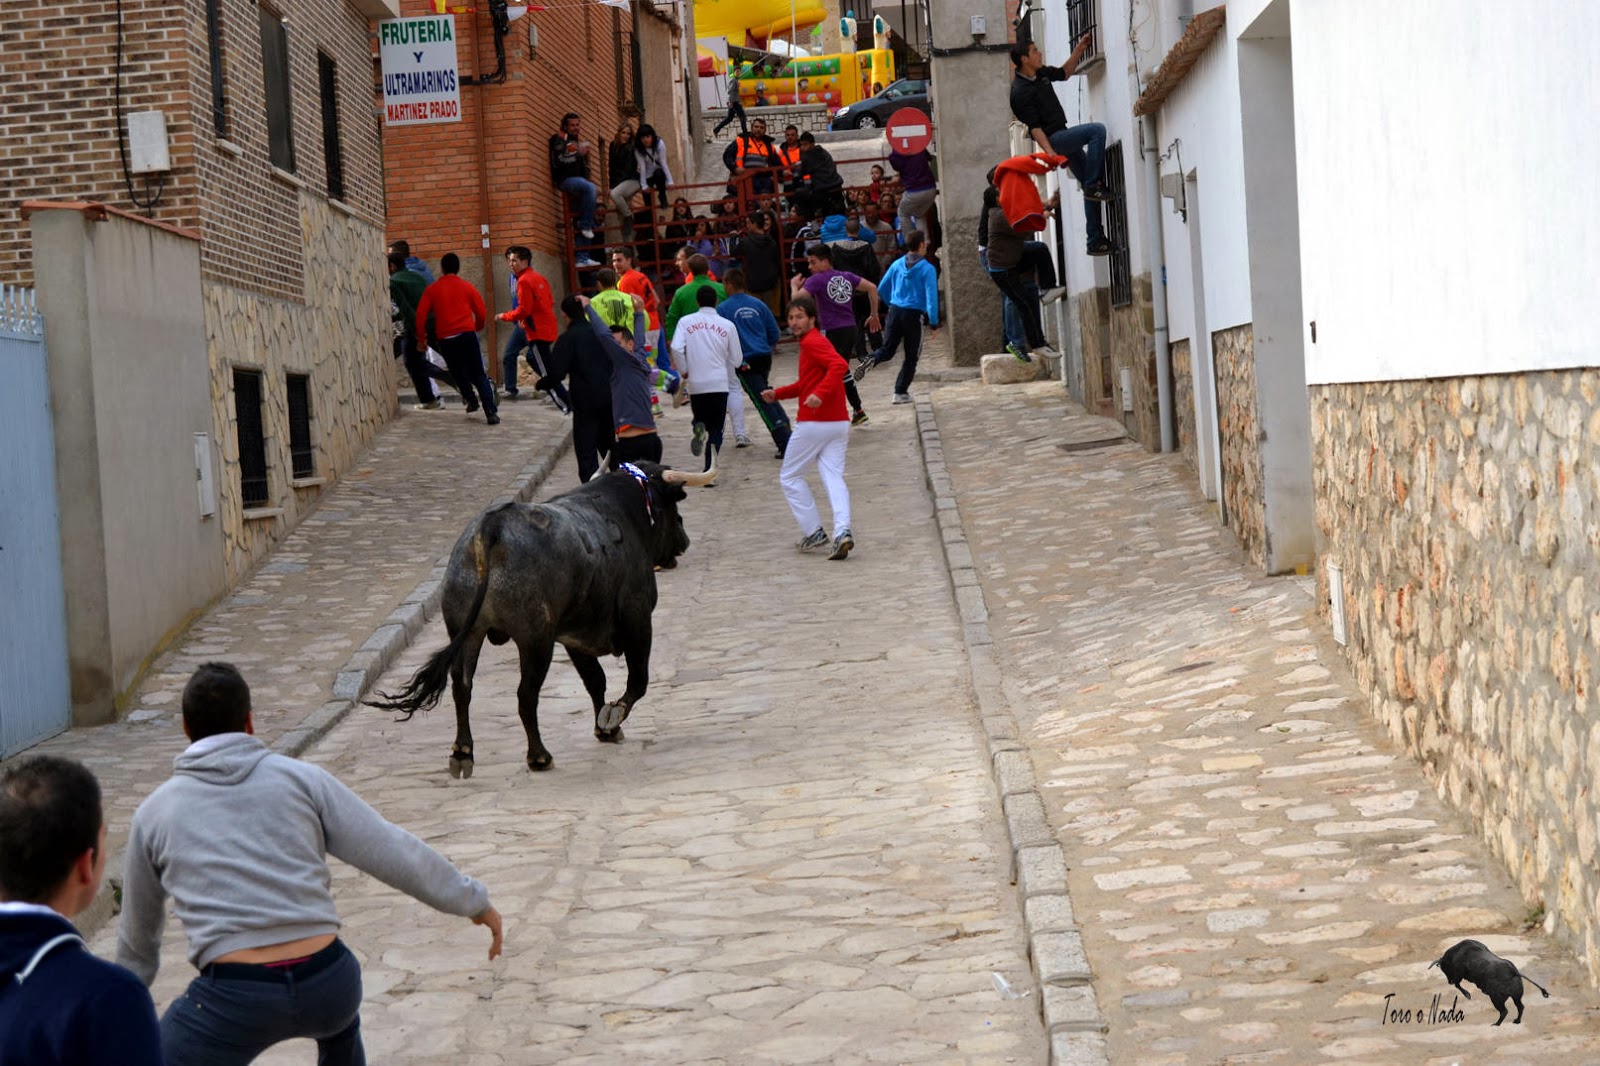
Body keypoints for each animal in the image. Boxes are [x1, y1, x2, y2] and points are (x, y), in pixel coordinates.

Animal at [368, 459, 714, 776]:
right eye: (671, 506)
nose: (684, 539)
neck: (624, 512)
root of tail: (492, 527)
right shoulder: (638, 619)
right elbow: (636, 681)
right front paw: (611, 719)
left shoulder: (574, 637)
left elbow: (595, 681)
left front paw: (605, 729)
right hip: (534, 640)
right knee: (525, 694)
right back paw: (539, 756)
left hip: (466, 632)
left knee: (462, 685)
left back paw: (463, 751)